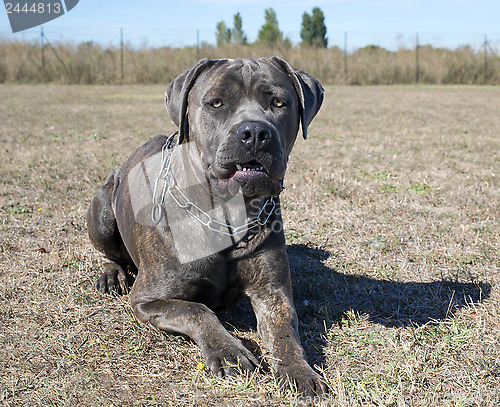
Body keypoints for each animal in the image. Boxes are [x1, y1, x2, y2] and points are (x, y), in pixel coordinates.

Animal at [87, 55, 324, 396]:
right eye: (216, 102)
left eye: (279, 102)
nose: (254, 132)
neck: (227, 215)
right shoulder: (148, 298)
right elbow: (198, 311)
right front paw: (229, 351)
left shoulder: (272, 293)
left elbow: (285, 333)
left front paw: (299, 370)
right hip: (103, 210)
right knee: (108, 252)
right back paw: (111, 275)